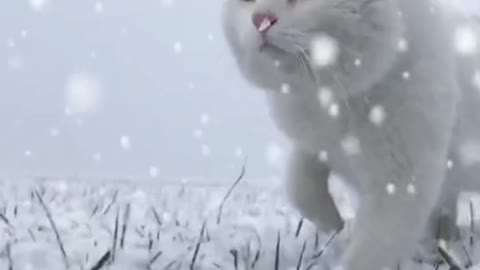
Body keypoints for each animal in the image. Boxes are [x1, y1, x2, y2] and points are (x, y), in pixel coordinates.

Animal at [222, 0, 480, 268]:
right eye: (247, 2)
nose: (260, 20)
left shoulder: (401, 180)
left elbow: (372, 250)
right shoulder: (316, 142)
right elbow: (298, 184)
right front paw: (333, 224)